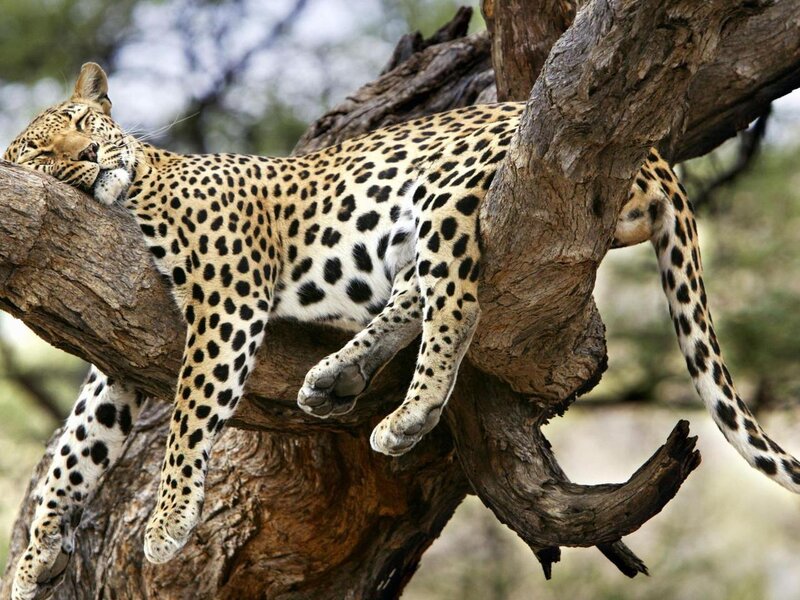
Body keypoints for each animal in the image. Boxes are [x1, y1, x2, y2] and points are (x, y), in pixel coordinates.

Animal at [6, 62, 800, 600]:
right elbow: (76, 448)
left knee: (457, 300)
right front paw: (34, 557)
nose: (87, 158)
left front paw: (168, 521)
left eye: (83, 126)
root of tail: (659, 155)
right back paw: (339, 377)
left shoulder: (227, 298)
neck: (135, 187)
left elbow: (190, 415)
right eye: (41, 152)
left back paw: (408, 415)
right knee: (418, 289)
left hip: (449, 190)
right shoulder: (116, 357)